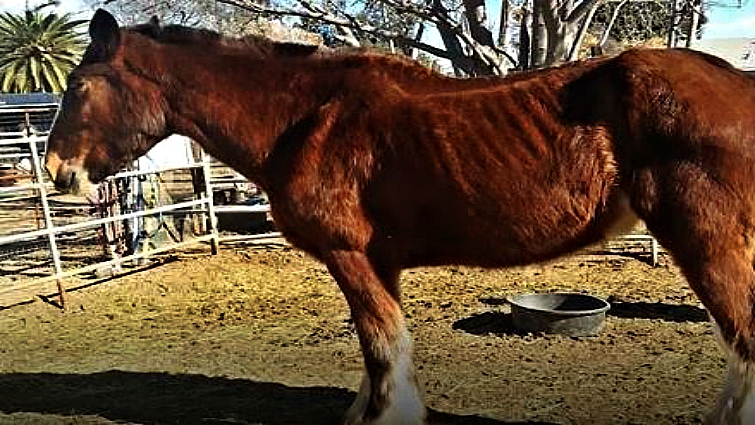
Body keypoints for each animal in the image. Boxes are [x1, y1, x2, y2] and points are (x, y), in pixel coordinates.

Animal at [44, 9, 755, 425]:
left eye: (78, 87)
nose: (57, 172)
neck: (305, 118)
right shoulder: (378, 262)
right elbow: (386, 351)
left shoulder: (350, 256)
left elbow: (383, 350)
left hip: (705, 238)